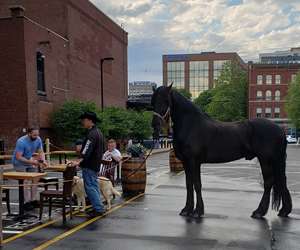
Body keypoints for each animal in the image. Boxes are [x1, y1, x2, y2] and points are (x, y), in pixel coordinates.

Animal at [151, 85, 292, 218]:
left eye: (165, 100)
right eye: (152, 101)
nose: (155, 125)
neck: (191, 125)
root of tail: (279, 129)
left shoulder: (194, 161)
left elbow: (197, 184)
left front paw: (198, 211)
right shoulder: (186, 163)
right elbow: (189, 184)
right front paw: (187, 209)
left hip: (265, 160)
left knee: (269, 182)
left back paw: (259, 212)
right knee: (282, 181)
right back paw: (284, 211)